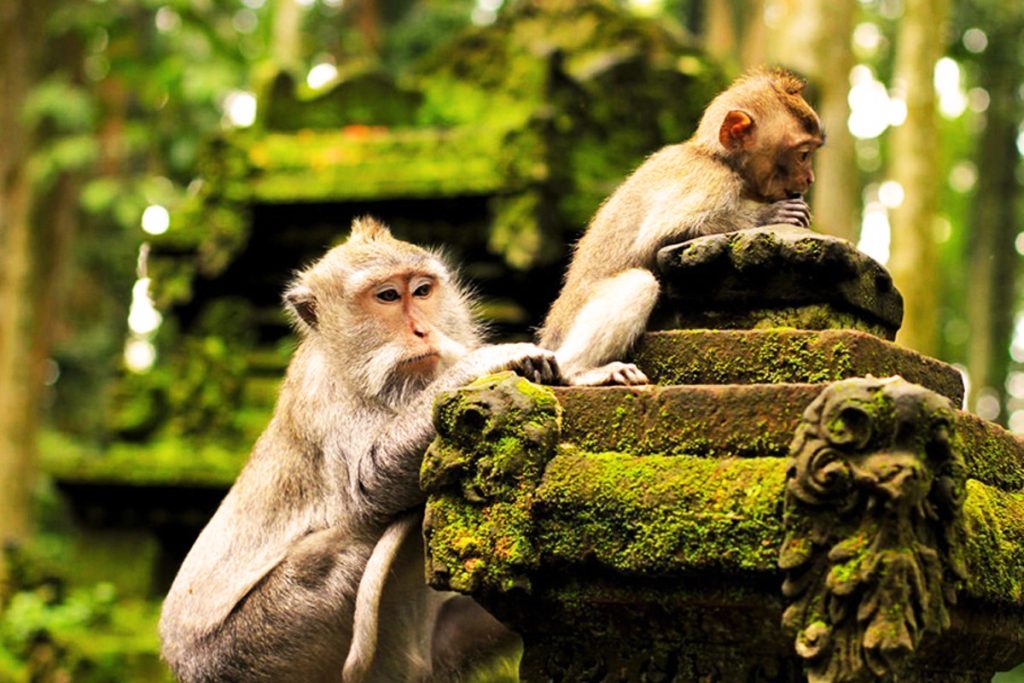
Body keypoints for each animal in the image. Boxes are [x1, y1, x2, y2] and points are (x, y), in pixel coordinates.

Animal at [159, 216, 559, 683]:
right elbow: (368, 484)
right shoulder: (326, 395)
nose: (422, 330)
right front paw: (483, 363)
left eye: (421, 290)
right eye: (387, 296)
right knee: (348, 543)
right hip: (251, 645)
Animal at [539, 67, 824, 386]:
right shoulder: (711, 180)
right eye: (803, 154)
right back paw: (577, 371)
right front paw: (770, 215)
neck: (716, 157)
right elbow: (660, 235)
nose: (809, 178)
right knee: (639, 283)